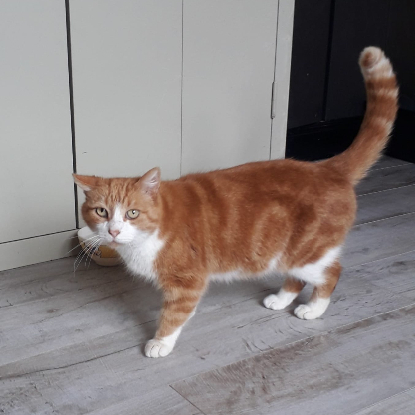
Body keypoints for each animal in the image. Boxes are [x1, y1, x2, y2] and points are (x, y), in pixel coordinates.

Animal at [74, 47, 398, 358]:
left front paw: (160, 343)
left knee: (331, 273)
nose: (113, 231)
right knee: (298, 278)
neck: (149, 236)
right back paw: (281, 299)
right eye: (101, 212)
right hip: (290, 256)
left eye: (132, 213)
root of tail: (327, 168)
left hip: (305, 253)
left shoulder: (187, 282)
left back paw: (313, 309)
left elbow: (173, 316)